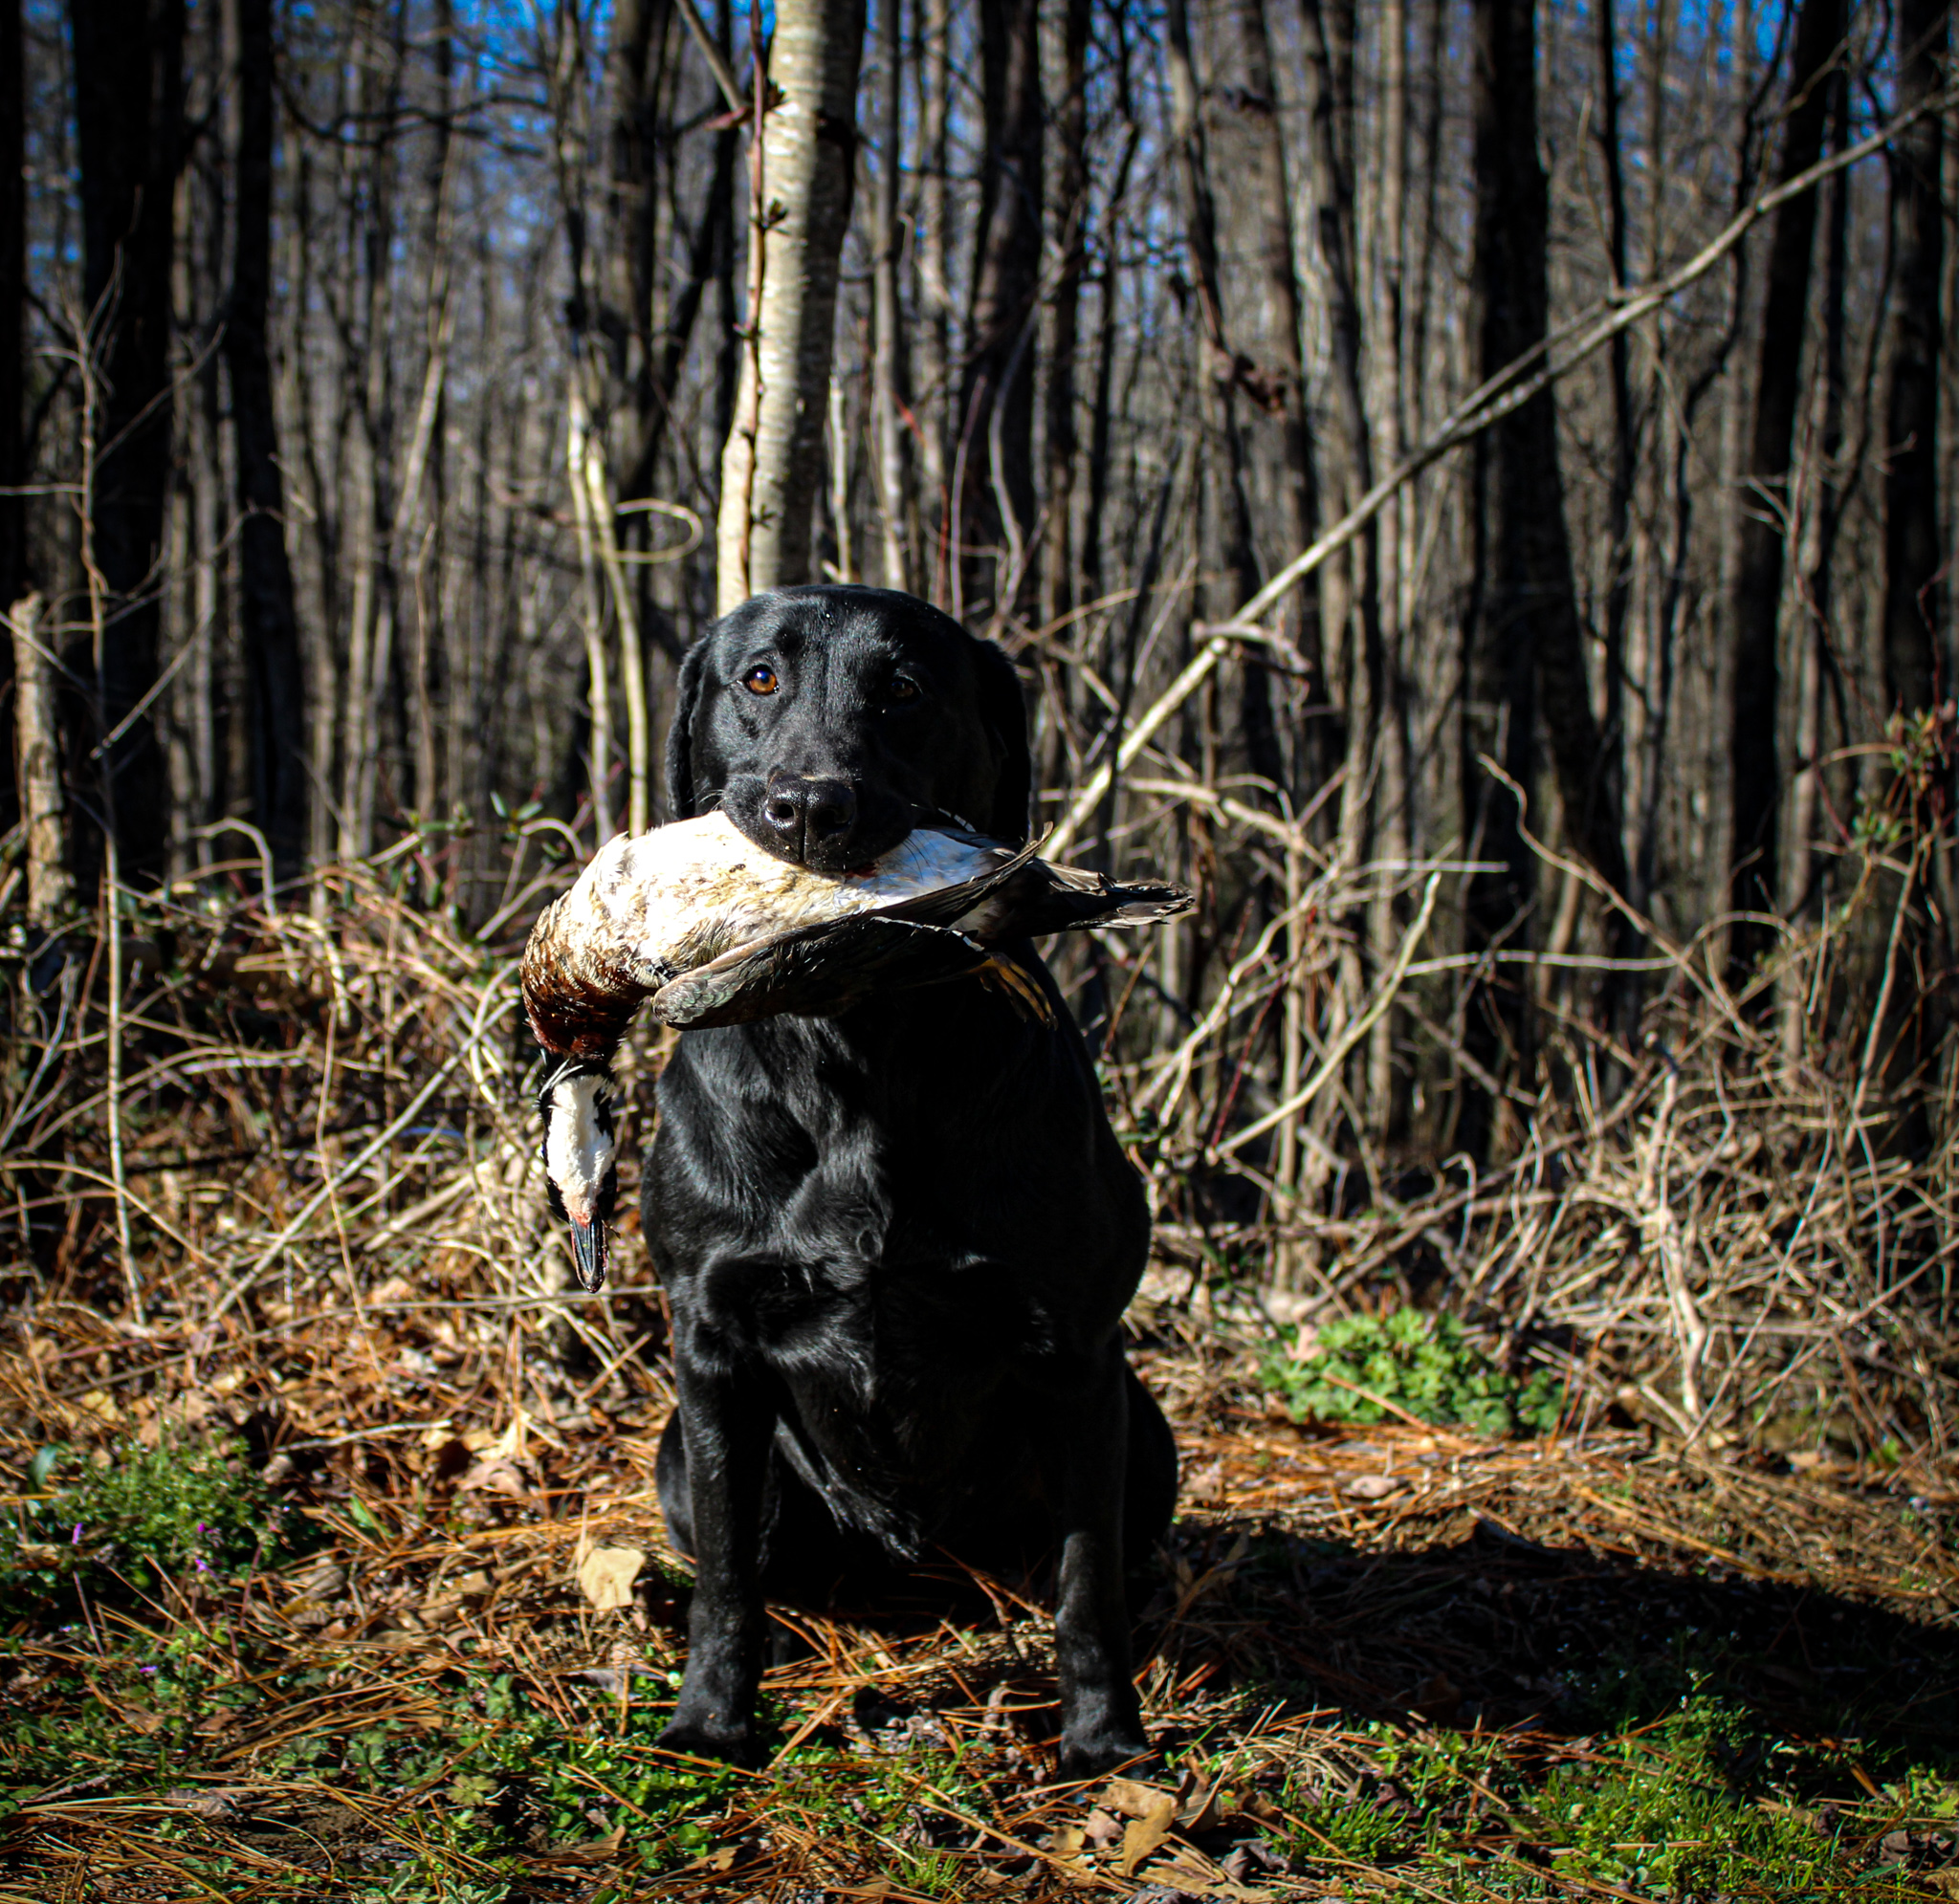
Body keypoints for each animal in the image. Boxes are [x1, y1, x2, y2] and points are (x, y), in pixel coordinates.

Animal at [646, 580, 1175, 1770]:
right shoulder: (710, 1342)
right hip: (672, 1453)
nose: (809, 807)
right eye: (759, 678)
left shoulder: (1077, 1354)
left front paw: (1103, 1737)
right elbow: (727, 1575)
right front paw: (712, 1719)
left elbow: (1085, 1582)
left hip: (1146, 1426)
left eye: (904, 689)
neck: (854, 1049)